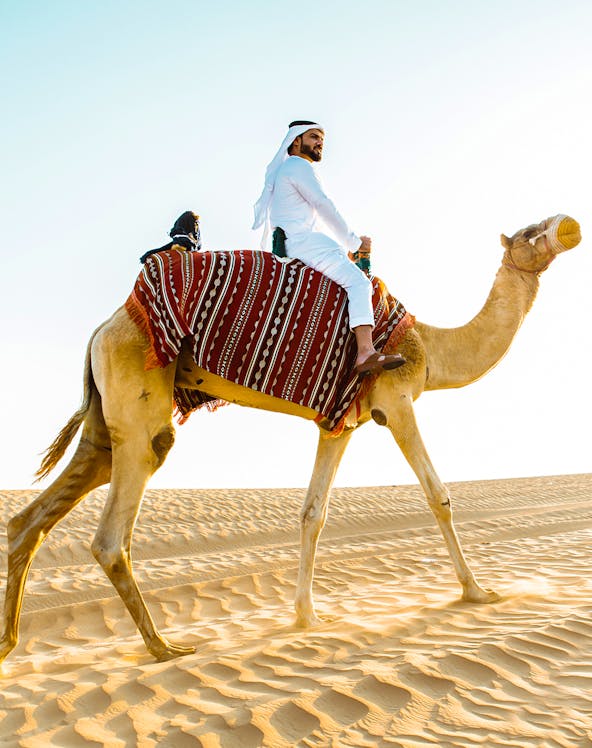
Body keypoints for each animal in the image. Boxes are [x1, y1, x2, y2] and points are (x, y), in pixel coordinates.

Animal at [0, 214, 581, 663]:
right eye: (529, 232)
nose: (566, 225)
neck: (428, 347)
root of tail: (102, 328)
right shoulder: (396, 400)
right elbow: (438, 496)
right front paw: (478, 591)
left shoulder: (339, 421)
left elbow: (313, 514)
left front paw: (306, 617)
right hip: (139, 400)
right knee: (113, 529)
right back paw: (163, 646)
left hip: (106, 421)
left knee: (37, 514)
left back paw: (10, 643)